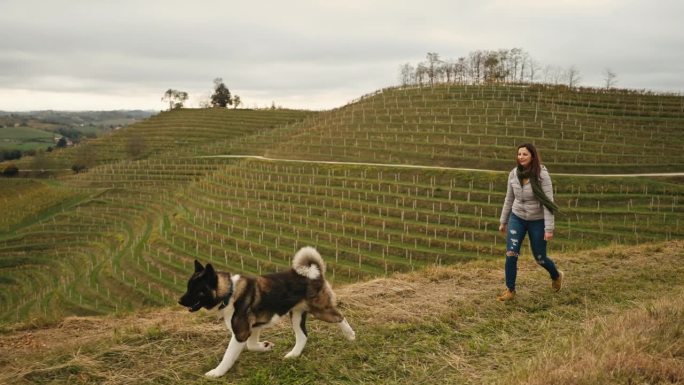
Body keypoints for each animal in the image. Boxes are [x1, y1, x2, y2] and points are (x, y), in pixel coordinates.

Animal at [176, 244, 358, 376]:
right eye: (188, 287)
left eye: (197, 290)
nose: (179, 301)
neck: (230, 292)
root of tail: (314, 273)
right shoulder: (253, 328)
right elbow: (251, 345)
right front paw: (265, 346)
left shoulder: (240, 333)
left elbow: (228, 356)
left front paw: (216, 373)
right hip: (296, 315)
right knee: (303, 336)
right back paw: (293, 355)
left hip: (320, 310)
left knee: (340, 316)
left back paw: (350, 335)